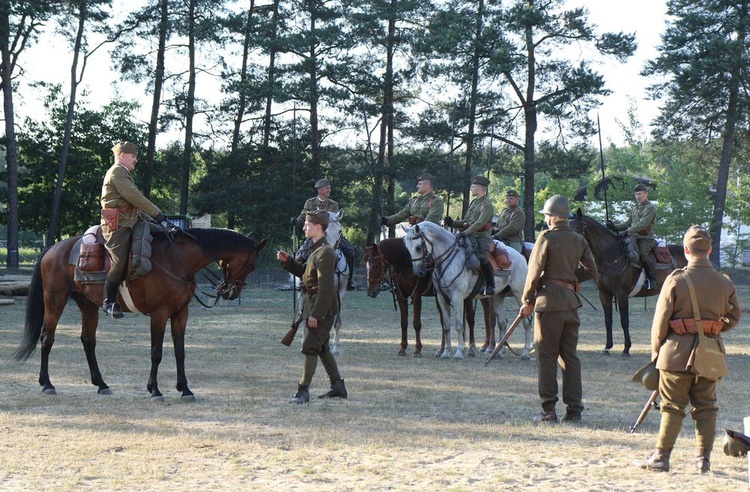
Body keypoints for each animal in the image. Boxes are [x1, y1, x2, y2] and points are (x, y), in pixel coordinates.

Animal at [13, 229, 268, 402]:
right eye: (252, 266)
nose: (232, 293)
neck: (177, 260)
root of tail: (53, 249)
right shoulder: (159, 314)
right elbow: (156, 353)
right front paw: (155, 390)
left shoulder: (180, 313)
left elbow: (180, 352)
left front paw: (185, 389)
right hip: (55, 301)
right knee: (47, 338)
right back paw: (47, 384)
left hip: (88, 305)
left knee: (88, 341)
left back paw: (101, 384)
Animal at [402, 222, 532, 358]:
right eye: (407, 248)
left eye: (418, 247)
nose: (418, 272)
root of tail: (520, 256)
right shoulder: (441, 297)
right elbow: (446, 326)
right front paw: (446, 352)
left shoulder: (457, 297)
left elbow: (459, 325)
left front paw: (459, 352)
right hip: (497, 297)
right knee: (503, 322)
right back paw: (498, 353)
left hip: (519, 294)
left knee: (526, 321)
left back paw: (525, 353)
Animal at [568, 209, 688, 356]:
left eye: (575, 229)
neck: (612, 256)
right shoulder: (604, 294)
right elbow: (608, 320)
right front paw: (607, 346)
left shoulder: (622, 294)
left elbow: (624, 320)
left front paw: (626, 348)